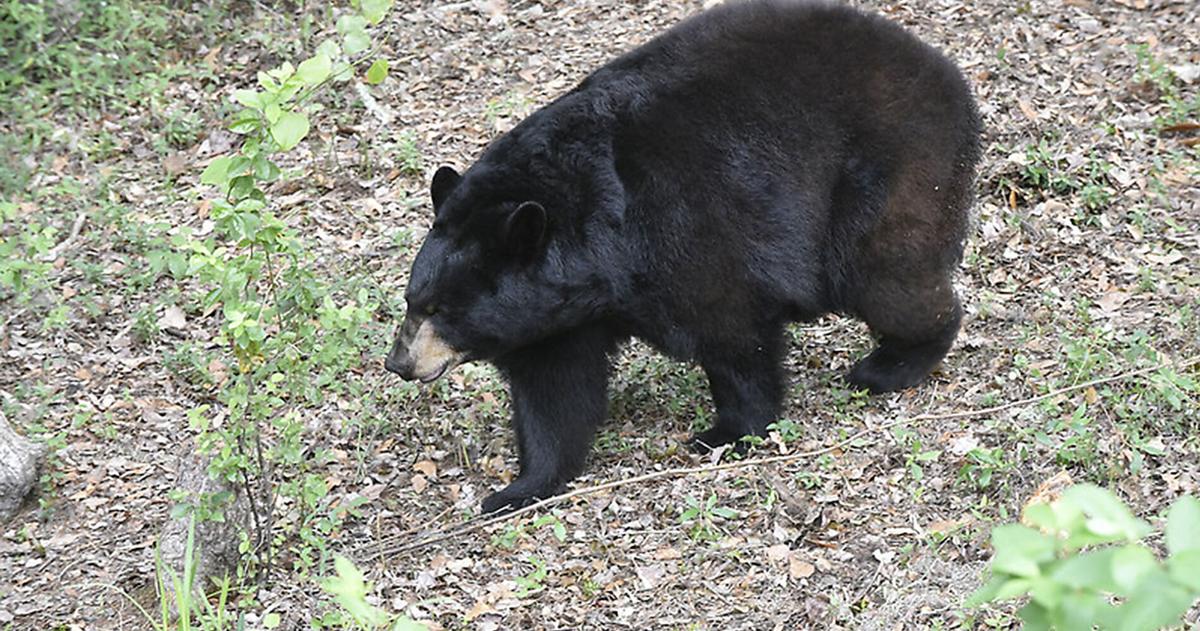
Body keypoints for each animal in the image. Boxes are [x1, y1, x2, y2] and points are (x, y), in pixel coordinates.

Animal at [385, 0, 982, 514]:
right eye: (412, 300)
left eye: (440, 310)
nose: (399, 363)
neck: (598, 242)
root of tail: (945, 70)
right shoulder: (557, 314)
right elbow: (554, 392)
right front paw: (518, 488)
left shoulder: (687, 229)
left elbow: (733, 334)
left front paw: (727, 433)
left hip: (891, 170)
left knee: (886, 277)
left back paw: (890, 365)